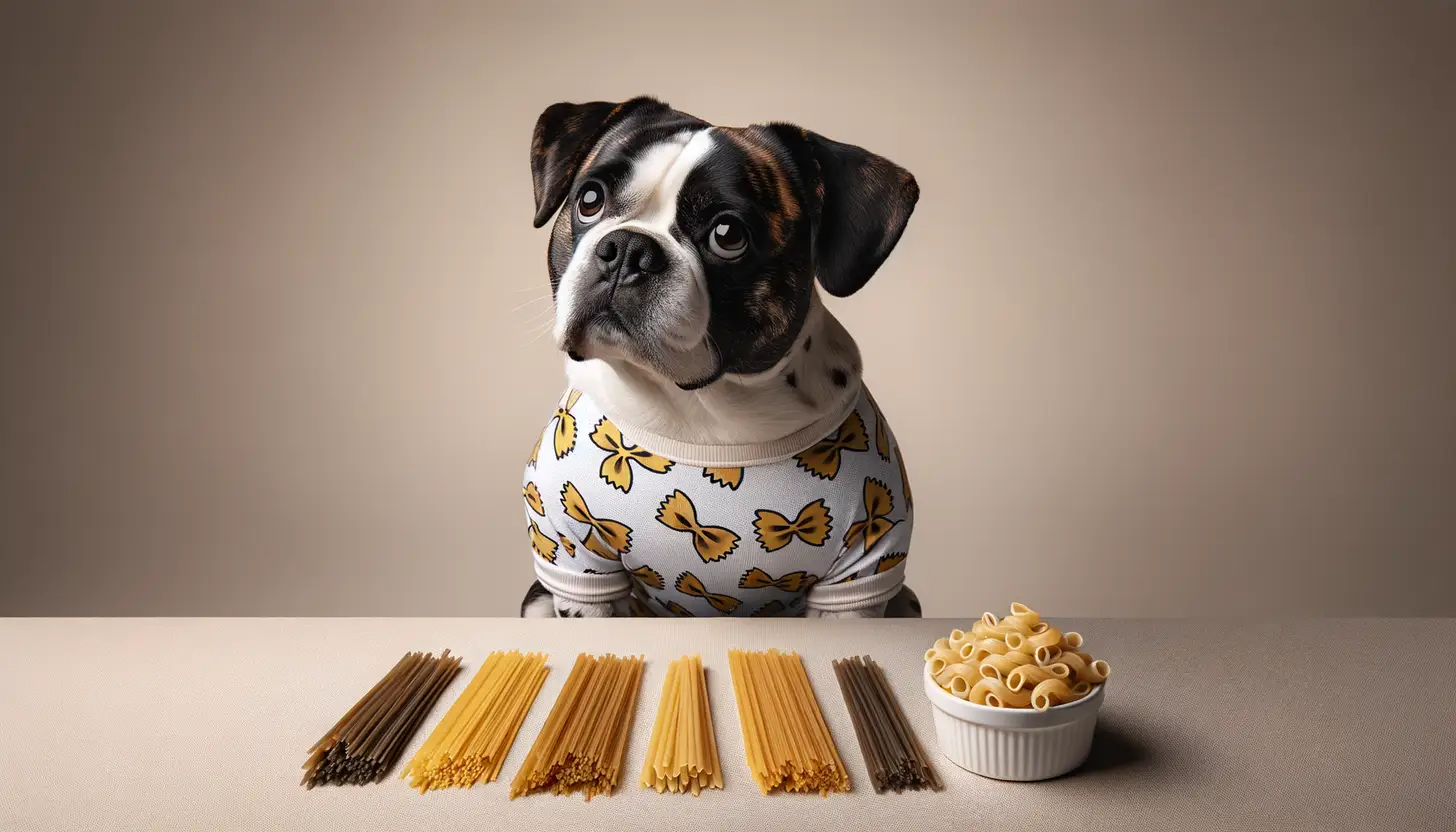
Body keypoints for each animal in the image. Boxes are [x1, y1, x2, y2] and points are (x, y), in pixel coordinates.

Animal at [518, 96, 914, 617]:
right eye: (589, 200)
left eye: (727, 235)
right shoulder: (576, 564)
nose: (627, 248)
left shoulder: (859, 576)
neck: (700, 412)